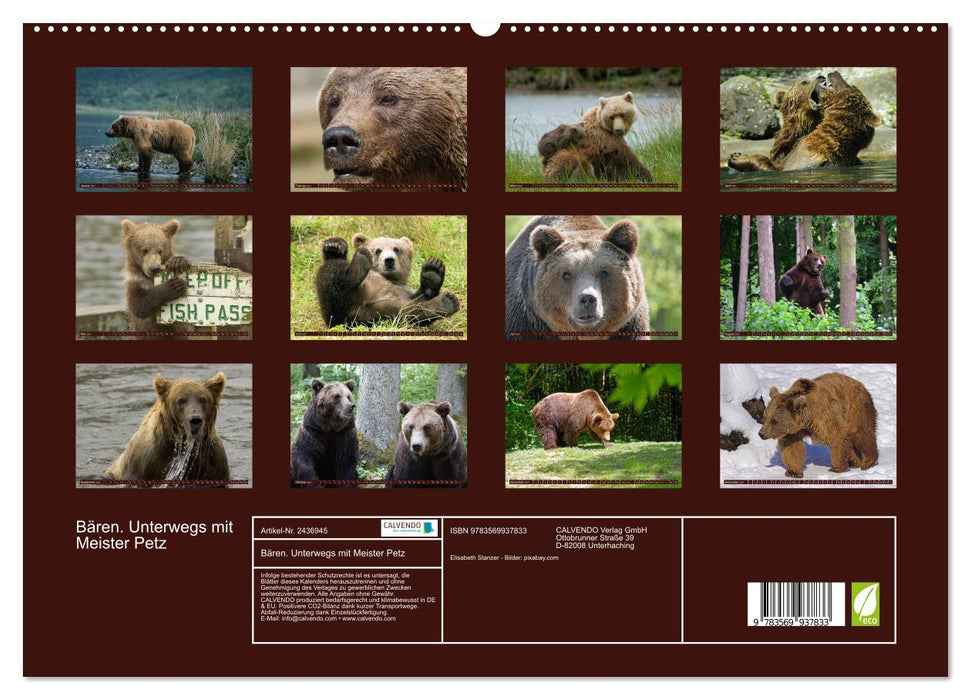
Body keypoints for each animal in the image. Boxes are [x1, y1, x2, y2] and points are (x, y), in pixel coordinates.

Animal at [314, 234, 459, 327]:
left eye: (396, 249)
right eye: (378, 250)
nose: (389, 260)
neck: (388, 277)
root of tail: (353, 310)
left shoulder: (402, 290)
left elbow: (419, 299)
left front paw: (432, 272)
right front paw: (334, 245)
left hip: (375, 315)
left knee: (403, 312)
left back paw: (445, 302)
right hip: (338, 310)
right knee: (332, 274)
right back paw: (357, 263)